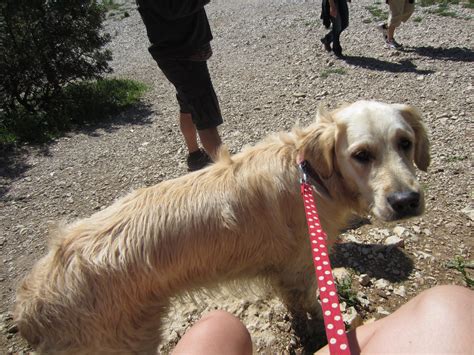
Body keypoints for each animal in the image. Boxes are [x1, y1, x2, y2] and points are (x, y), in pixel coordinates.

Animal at [13, 100, 430, 354]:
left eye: (405, 143)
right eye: (361, 155)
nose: (406, 200)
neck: (310, 176)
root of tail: (30, 304)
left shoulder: (285, 274)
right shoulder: (300, 269)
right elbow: (312, 306)